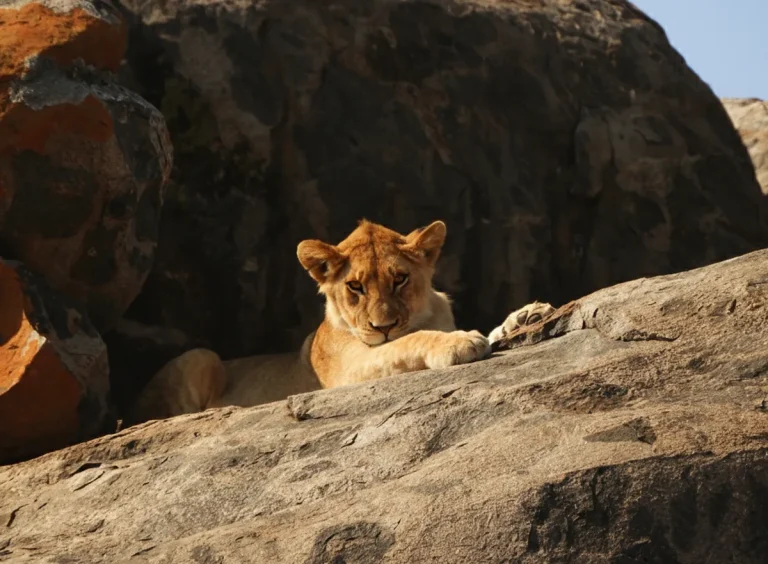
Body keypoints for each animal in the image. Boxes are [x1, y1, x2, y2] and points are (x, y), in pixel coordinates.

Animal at [127, 220, 554, 425]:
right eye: (355, 286)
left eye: (400, 279)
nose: (383, 326)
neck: (424, 313)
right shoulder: (351, 368)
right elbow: (409, 342)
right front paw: (458, 343)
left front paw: (526, 316)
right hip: (200, 356)